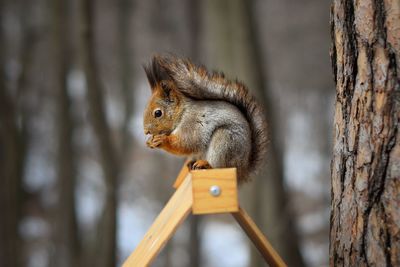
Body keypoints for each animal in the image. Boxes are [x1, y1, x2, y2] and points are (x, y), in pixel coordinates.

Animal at [142, 55, 268, 183]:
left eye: (158, 113)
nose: (146, 131)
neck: (182, 113)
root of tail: (242, 169)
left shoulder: (192, 123)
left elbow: (187, 142)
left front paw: (162, 140)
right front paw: (149, 141)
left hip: (225, 141)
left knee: (219, 165)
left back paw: (206, 164)